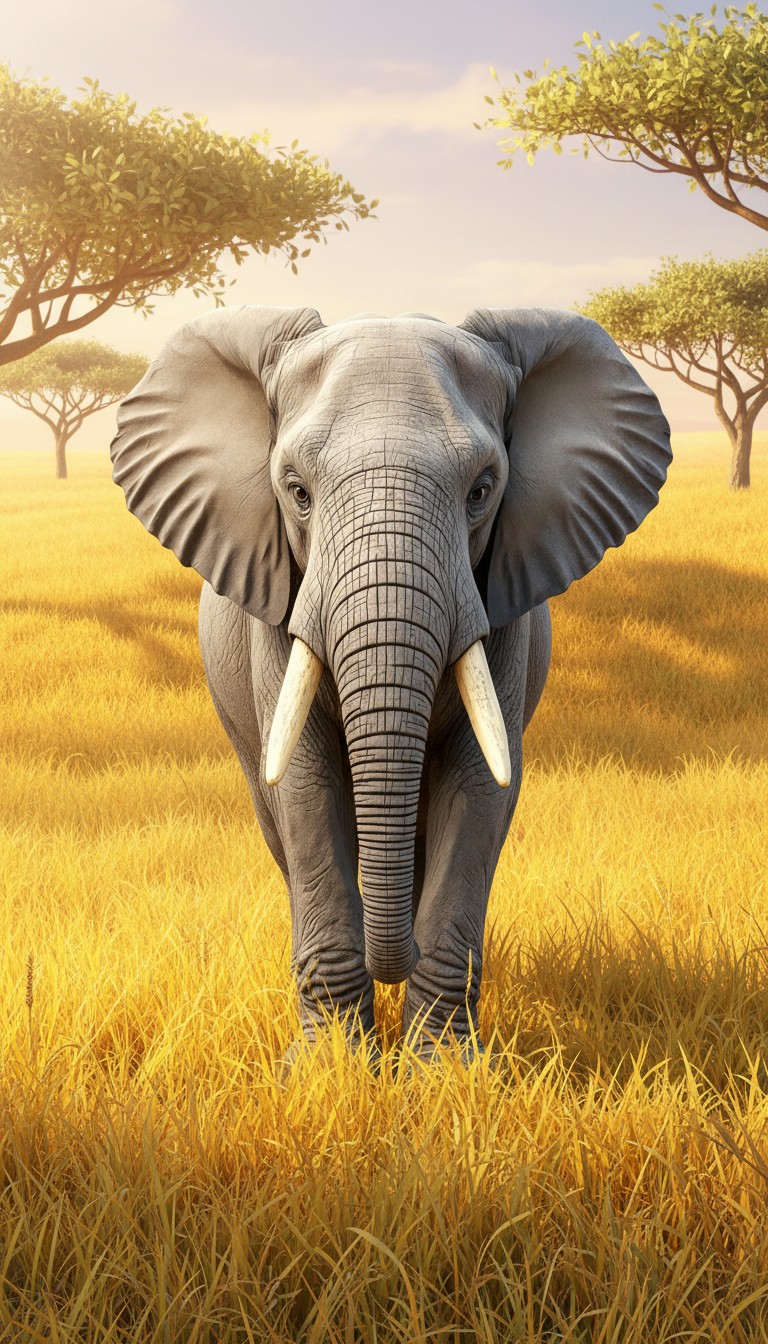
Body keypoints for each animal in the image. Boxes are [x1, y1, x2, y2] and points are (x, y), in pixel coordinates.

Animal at [110, 305, 671, 1063]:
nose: (393, 964)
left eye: (482, 490)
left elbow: (477, 784)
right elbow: (308, 785)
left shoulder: (505, 611)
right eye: (296, 491)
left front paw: (443, 1071)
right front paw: (331, 1069)